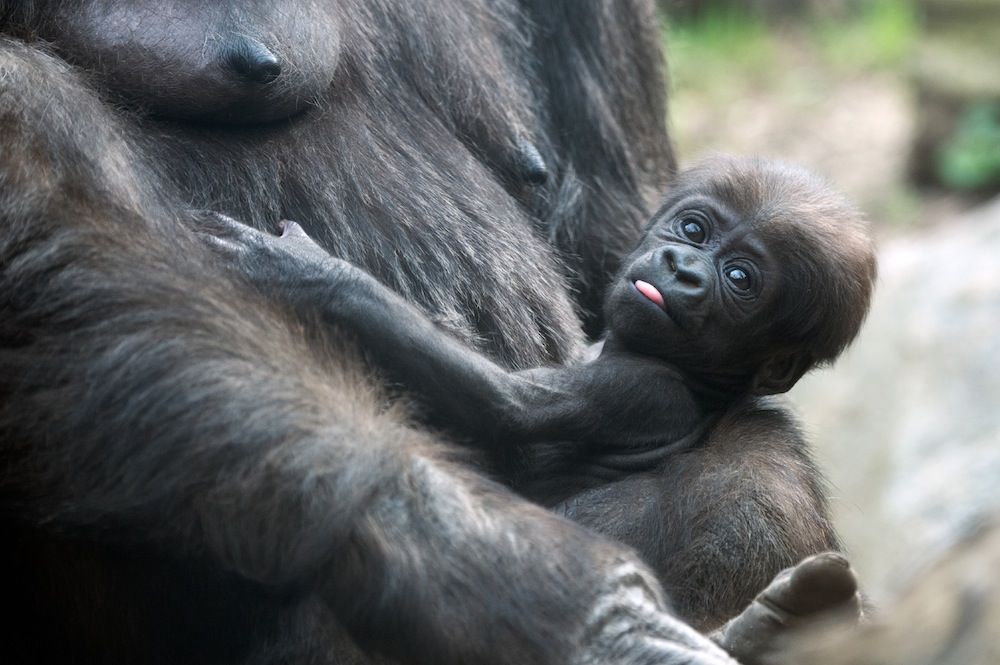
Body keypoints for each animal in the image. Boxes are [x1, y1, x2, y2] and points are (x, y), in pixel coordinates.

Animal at [205, 157, 876, 504]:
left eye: (739, 277)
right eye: (693, 230)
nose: (684, 271)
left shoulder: (642, 391)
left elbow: (507, 403)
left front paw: (313, 274)